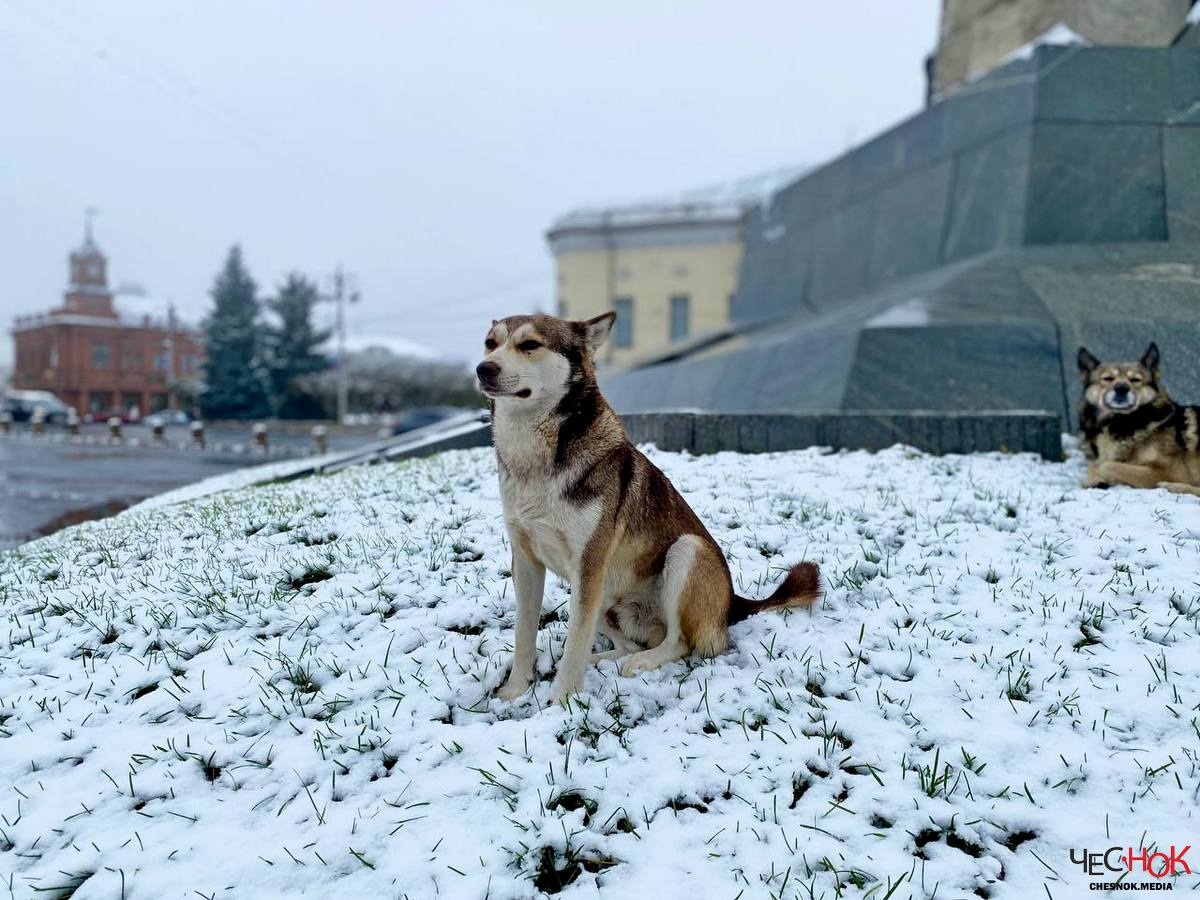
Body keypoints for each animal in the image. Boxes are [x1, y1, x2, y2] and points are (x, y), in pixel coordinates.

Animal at [472, 314, 820, 710]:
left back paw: (642, 661)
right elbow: (524, 631)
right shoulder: (527, 560)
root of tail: (733, 604)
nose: (484, 369)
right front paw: (515, 690)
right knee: (627, 643)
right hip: (602, 596)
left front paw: (563, 701)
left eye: (529, 344)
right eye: (490, 343)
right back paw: (603, 659)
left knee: (680, 642)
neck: (534, 460)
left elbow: (576, 639)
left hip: (685, 551)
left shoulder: (589, 562)